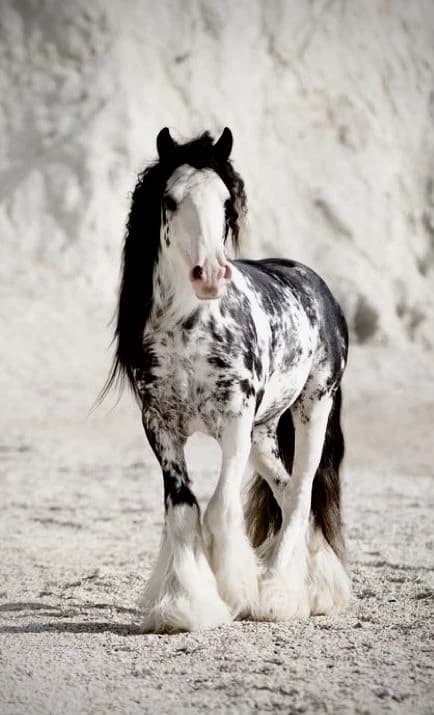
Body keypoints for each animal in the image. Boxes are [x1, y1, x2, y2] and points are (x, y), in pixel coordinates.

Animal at [103, 127, 352, 632]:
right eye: (170, 200)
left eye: (225, 202)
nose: (211, 274)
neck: (190, 328)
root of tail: (317, 286)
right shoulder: (160, 427)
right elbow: (183, 510)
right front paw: (184, 607)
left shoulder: (234, 423)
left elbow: (219, 509)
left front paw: (235, 591)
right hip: (264, 434)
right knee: (288, 494)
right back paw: (315, 587)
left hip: (313, 408)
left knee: (301, 494)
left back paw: (278, 597)